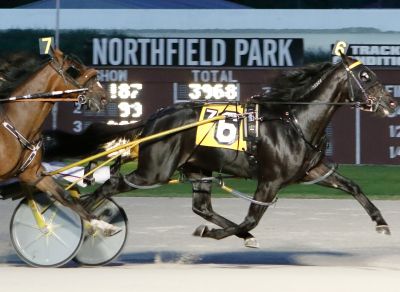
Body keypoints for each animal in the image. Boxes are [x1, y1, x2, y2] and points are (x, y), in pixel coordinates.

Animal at [44, 54, 396, 246]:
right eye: (366, 75)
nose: (391, 103)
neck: (294, 119)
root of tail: (154, 118)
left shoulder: (313, 170)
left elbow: (353, 186)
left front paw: (381, 222)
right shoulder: (269, 181)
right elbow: (251, 219)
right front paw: (214, 235)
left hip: (198, 169)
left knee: (201, 206)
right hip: (154, 171)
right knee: (112, 184)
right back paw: (84, 218)